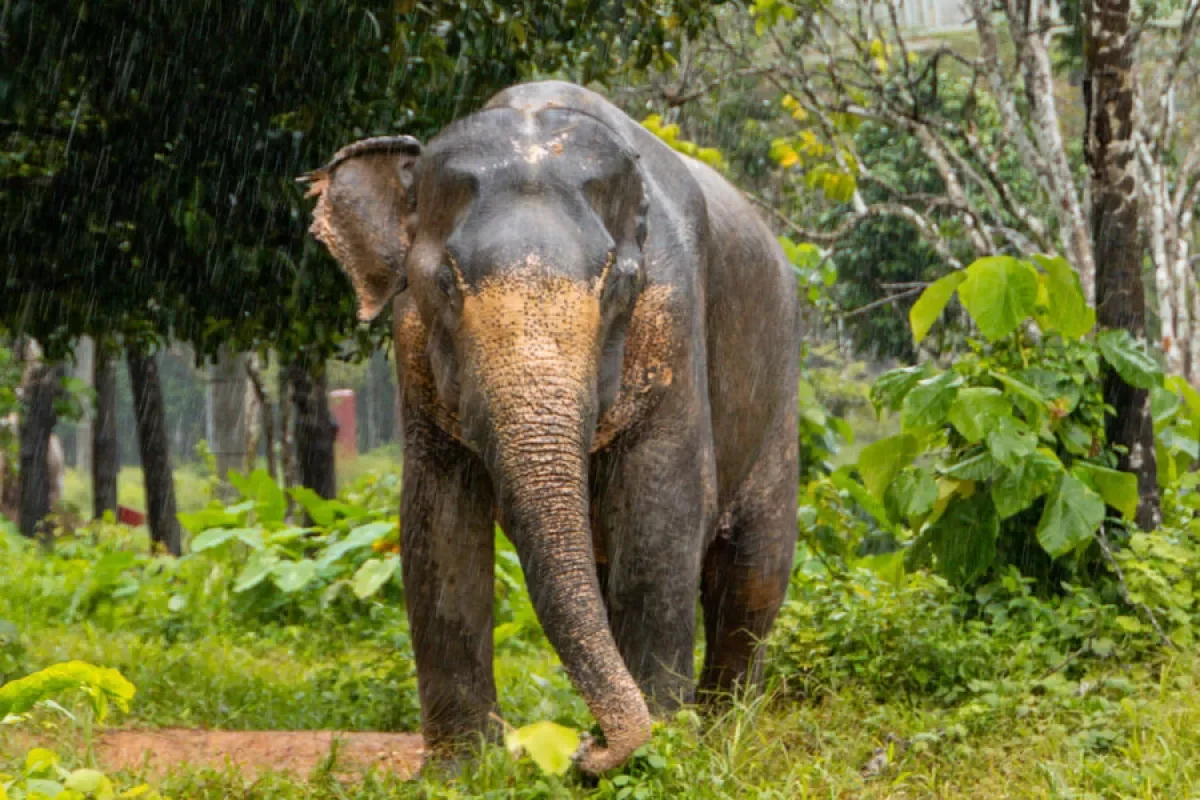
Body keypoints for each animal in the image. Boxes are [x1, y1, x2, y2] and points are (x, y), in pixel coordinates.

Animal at [304, 82, 801, 777]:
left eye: (618, 284)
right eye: (445, 283)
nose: (586, 751)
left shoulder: (674, 318)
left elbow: (663, 512)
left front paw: (660, 756)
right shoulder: (411, 348)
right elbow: (435, 521)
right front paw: (463, 773)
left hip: (780, 397)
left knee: (753, 576)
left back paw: (724, 739)